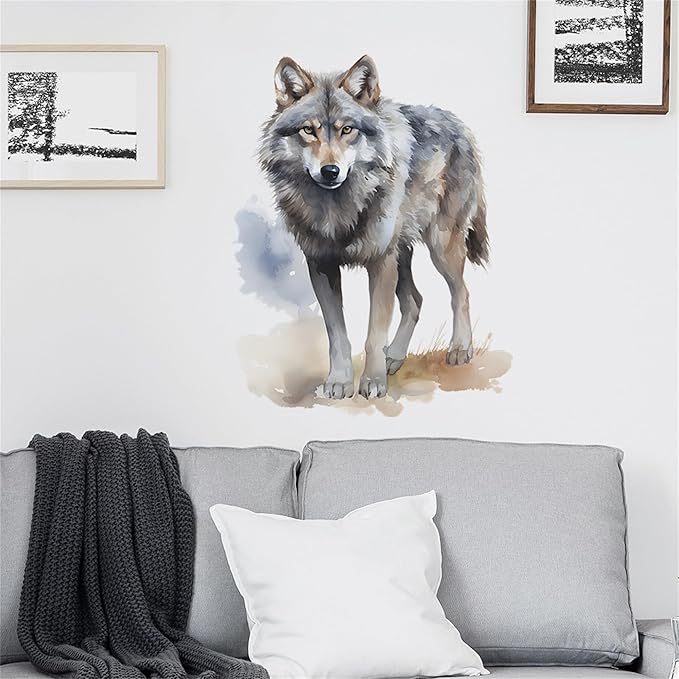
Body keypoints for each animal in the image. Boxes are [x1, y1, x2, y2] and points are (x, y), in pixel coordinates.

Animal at [259, 55, 489, 400]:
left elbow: (373, 334)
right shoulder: (321, 266)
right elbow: (337, 335)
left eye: (347, 130)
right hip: (402, 253)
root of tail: (459, 125)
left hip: (440, 248)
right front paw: (339, 382)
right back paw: (395, 356)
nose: (330, 171)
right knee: (414, 301)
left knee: (461, 292)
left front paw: (373, 382)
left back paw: (460, 349)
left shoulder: (380, 263)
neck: (336, 208)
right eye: (308, 131)